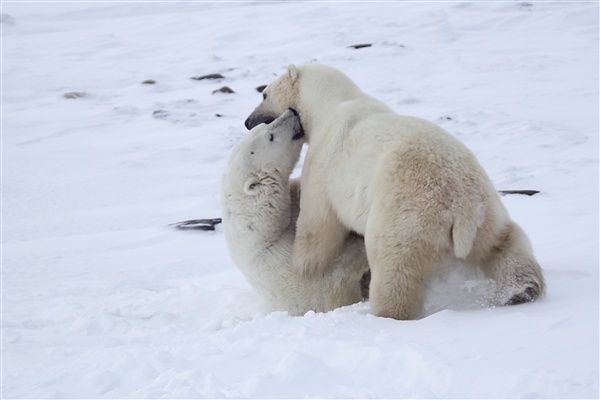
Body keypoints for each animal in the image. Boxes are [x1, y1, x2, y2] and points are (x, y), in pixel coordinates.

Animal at [246, 64, 548, 320]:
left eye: (264, 93)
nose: (249, 121)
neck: (331, 104)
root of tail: (462, 210)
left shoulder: (325, 162)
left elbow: (318, 221)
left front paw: (303, 266)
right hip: (487, 210)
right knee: (505, 242)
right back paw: (521, 290)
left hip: (407, 216)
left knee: (395, 270)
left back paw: (387, 313)